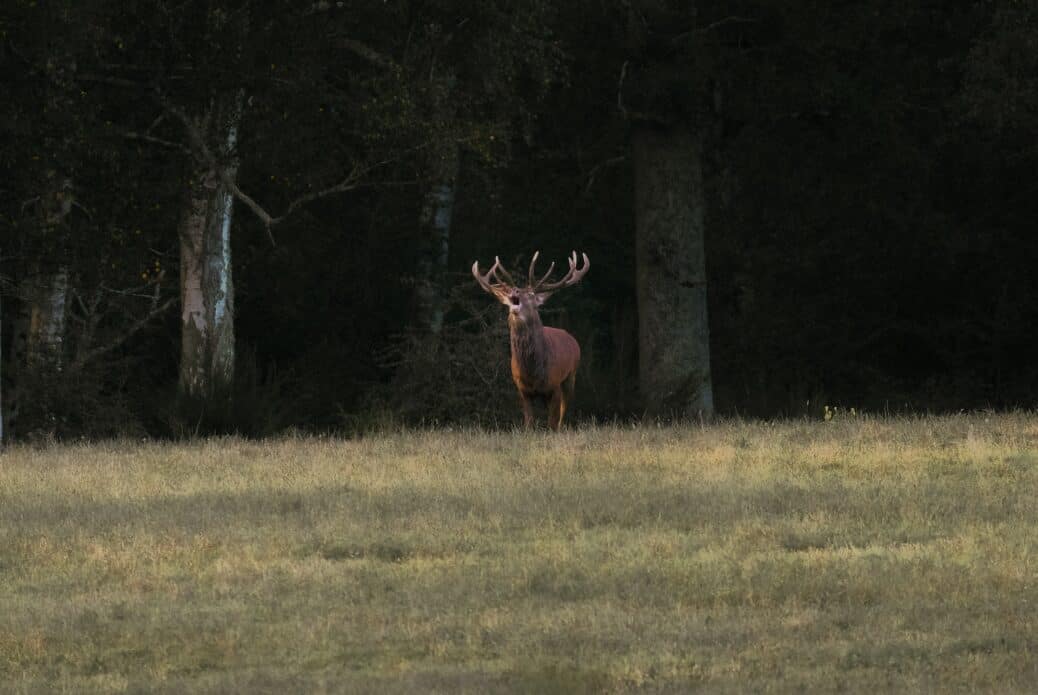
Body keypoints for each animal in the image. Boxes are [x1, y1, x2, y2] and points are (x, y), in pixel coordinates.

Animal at [473, 251, 589, 429]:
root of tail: (571, 338)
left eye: (531, 295)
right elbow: (528, 422)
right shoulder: (523, 390)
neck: (533, 372)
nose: (514, 291)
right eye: (509, 294)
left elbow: (552, 423)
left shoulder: (554, 385)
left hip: (571, 374)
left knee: (564, 409)